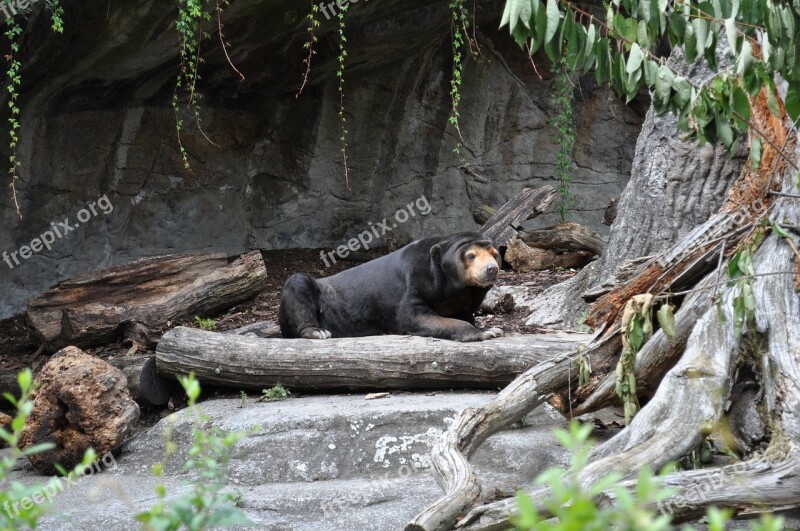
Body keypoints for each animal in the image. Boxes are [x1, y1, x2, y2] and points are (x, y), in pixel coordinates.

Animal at [282, 232, 504, 340]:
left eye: (494, 254)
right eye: (470, 256)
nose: (491, 269)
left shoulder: (465, 297)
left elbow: (464, 314)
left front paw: (491, 328)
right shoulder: (415, 281)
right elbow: (412, 317)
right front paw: (486, 332)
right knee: (297, 283)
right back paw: (317, 331)